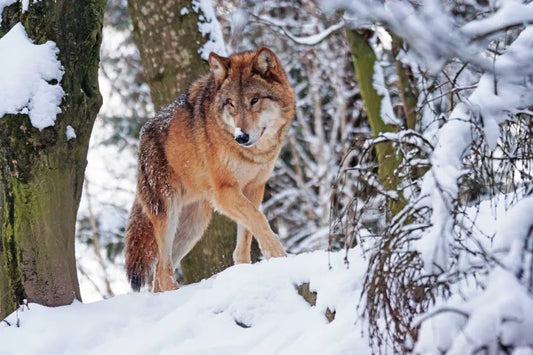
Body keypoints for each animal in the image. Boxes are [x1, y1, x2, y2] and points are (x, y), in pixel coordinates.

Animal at [125, 47, 296, 292]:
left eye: (254, 100)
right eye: (231, 103)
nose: (241, 137)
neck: (253, 154)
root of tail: (142, 135)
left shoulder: (254, 189)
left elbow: (246, 236)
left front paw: (245, 271)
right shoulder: (225, 192)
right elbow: (259, 220)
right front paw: (279, 256)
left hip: (193, 226)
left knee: (159, 271)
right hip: (168, 213)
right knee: (163, 269)